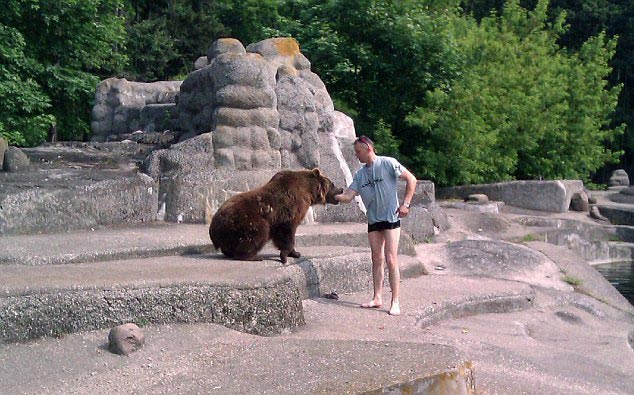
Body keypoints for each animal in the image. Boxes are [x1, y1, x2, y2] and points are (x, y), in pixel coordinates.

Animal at [209, 169, 340, 264]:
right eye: (332, 184)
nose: (341, 189)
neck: (308, 191)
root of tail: (214, 227)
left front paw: (295, 253)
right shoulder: (290, 210)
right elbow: (287, 233)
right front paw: (286, 255)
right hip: (246, 221)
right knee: (259, 232)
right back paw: (252, 256)